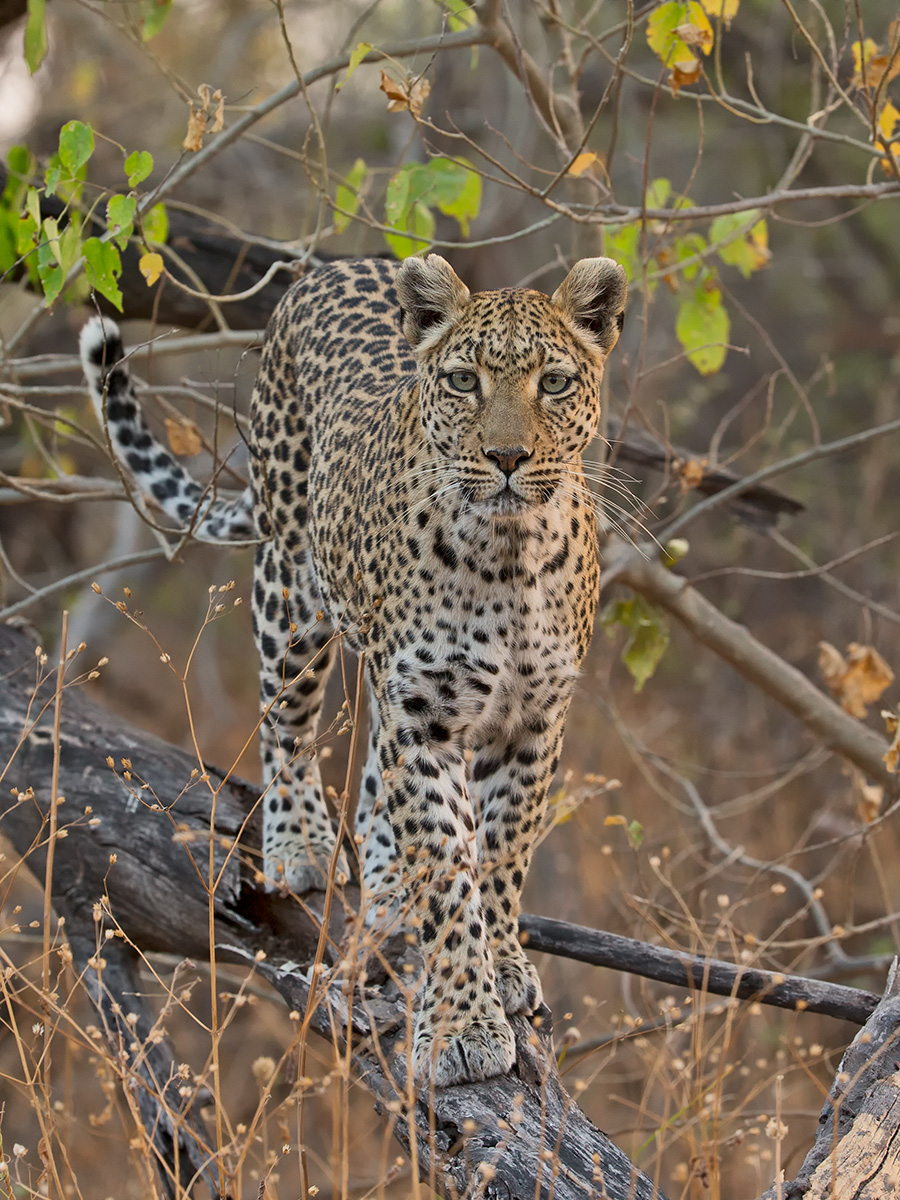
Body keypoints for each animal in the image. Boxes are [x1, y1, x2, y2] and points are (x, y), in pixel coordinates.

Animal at [80, 253, 627, 1087]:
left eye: (556, 382)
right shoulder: (423, 713)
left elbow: (503, 854)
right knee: (288, 721)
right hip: (290, 589)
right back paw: (300, 843)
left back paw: (386, 871)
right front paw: (461, 1023)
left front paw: (502, 964)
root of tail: (334, 267)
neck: (509, 555)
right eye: (463, 381)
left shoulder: (535, 718)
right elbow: (447, 866)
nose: (507, 460)